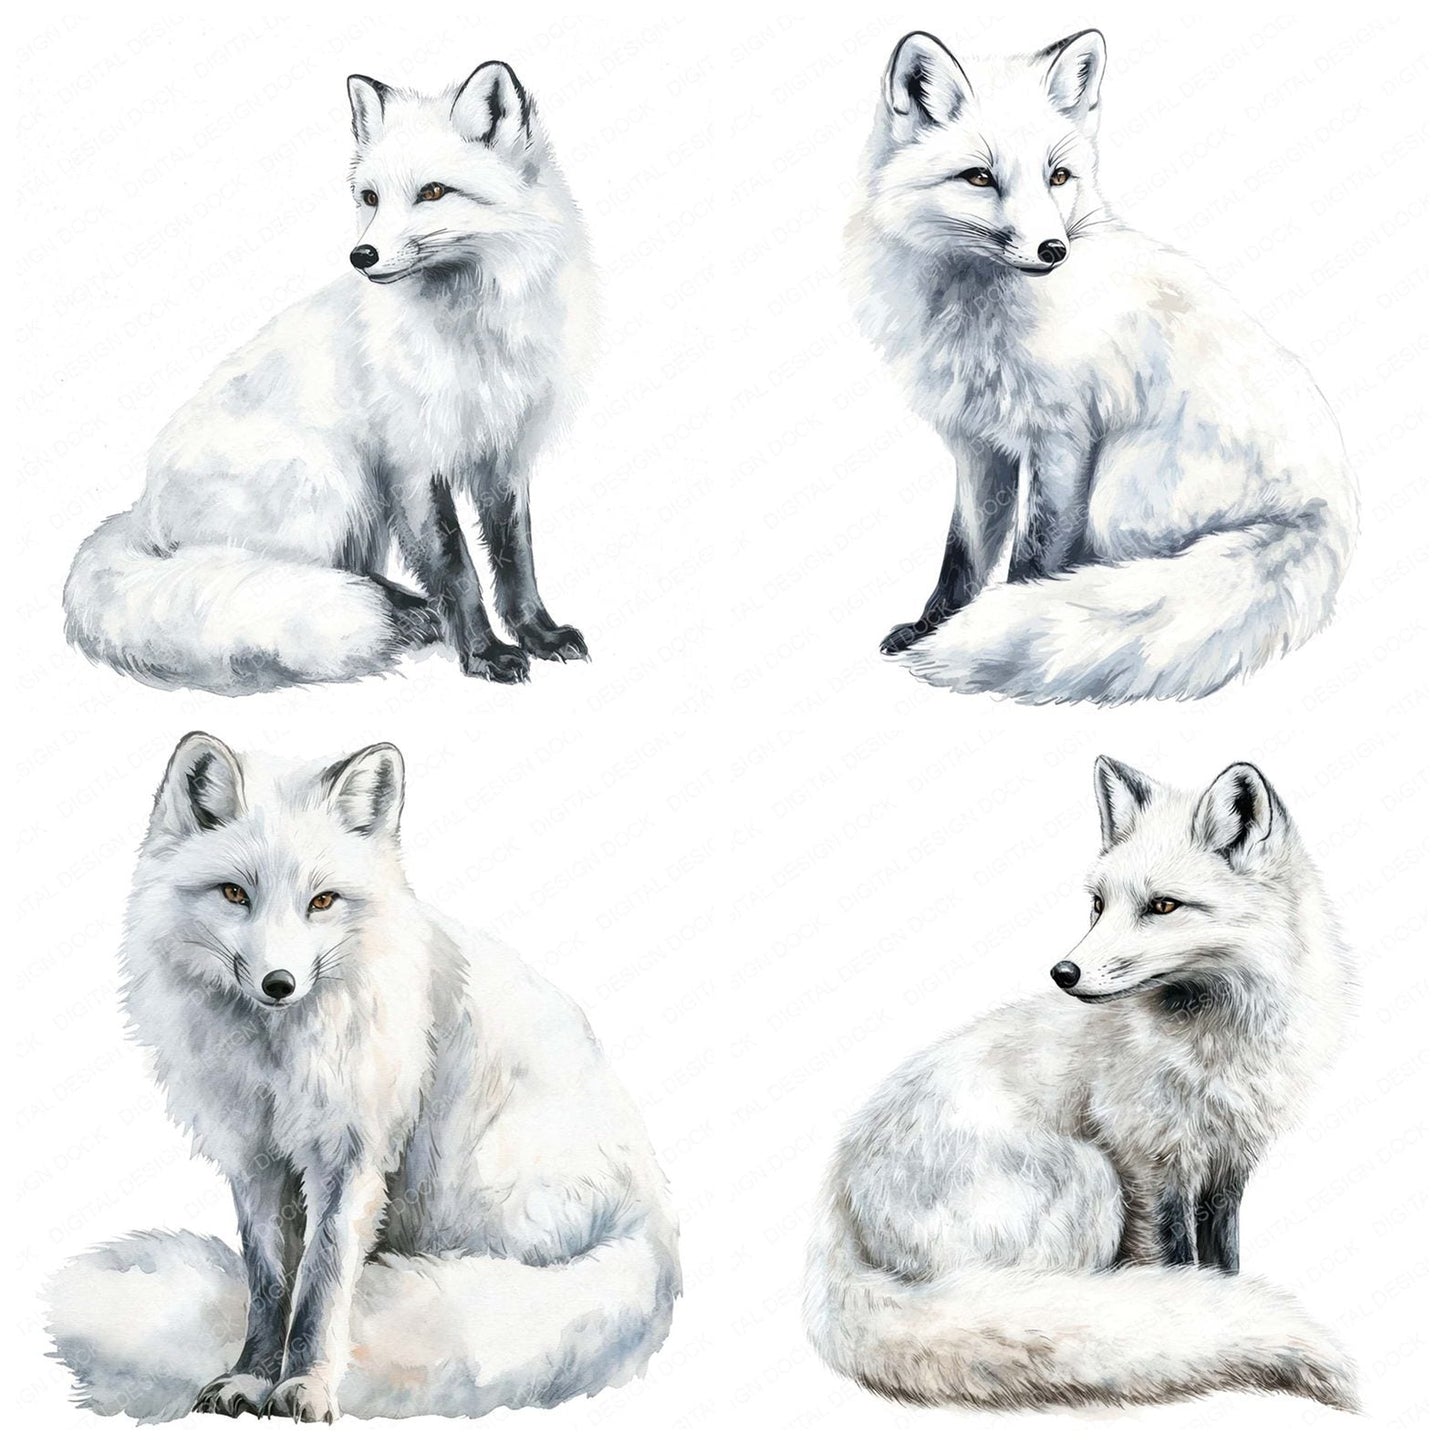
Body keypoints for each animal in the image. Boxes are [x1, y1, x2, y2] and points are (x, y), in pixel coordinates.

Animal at [46, 734, 680, 1421]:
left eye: (322, 901)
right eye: (235, 894)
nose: (279, 983)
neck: (276, 1060)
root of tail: (653, 1218)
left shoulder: (350, 1156)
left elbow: (320, 1286)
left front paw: (306, 1387)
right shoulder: (256, 1159)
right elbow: (269, 1285)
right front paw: (250, 1377)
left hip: (466, 1183)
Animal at [63, 60, 591, 694]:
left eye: (433, 192)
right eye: (370, 198)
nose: (361, 256)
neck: (475, 334)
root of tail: (143, 516)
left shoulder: (503, 453)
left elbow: (516, 559)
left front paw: (538, 634)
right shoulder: (414, 463)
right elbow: (456, 569)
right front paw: (484, 653)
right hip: (335, 478)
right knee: (324, 573)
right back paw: (404, 614)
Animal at [805, 756, 1357, 1411]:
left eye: (1163, 906)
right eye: (1098, 904)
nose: (1062, 973)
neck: (1217, 1047)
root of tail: (839, 1204)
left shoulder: (1227, 1162)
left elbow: (1223, 1260)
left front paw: (1222, 1298)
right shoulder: (1149, 1162)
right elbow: (1179, 1261)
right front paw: (1198, 1309)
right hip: (1089, 1175)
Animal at [851, 31, 1358, 703]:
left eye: (1058, 176)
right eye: (980, 177)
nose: (1053, 250)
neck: (976, 313)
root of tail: (1327, 508)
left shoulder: (1064, 438)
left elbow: (1033, 554)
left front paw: (1010, 615)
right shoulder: (977, 443)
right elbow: (965, 553)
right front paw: (932, 626)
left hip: (1115, 488)